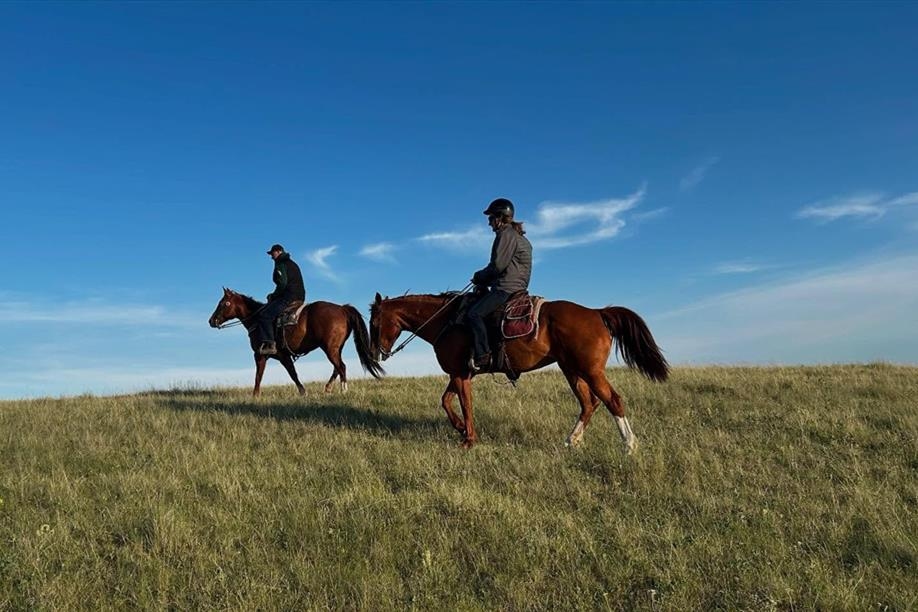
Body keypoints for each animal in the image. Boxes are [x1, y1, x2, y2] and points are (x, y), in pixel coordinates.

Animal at [209, 288, 384, 396]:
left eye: (224, 303)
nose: (212, 321)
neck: (256, 320)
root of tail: (342, 308)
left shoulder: (261, 355)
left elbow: (260, 375)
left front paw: (255, 396)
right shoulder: (282, 356)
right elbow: (292, 373)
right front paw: (303, 392)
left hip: (329, 348)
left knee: (341, 367)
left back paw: (343, 389)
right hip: (335, 348)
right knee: (337, 367)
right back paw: (328, 388)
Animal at [369, 291, 668, 451]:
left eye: (374, 322)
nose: (373, 353)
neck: (447, 321)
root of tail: (597, 312)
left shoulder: (460, 374)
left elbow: (465, 405)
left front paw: (468, 438)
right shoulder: (461, 374)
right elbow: (446, 401)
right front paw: (460, 429)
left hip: (590, 370)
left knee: (612, 400)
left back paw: (629, 445)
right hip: (571, 369)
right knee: (589, 403)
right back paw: (572, 440)